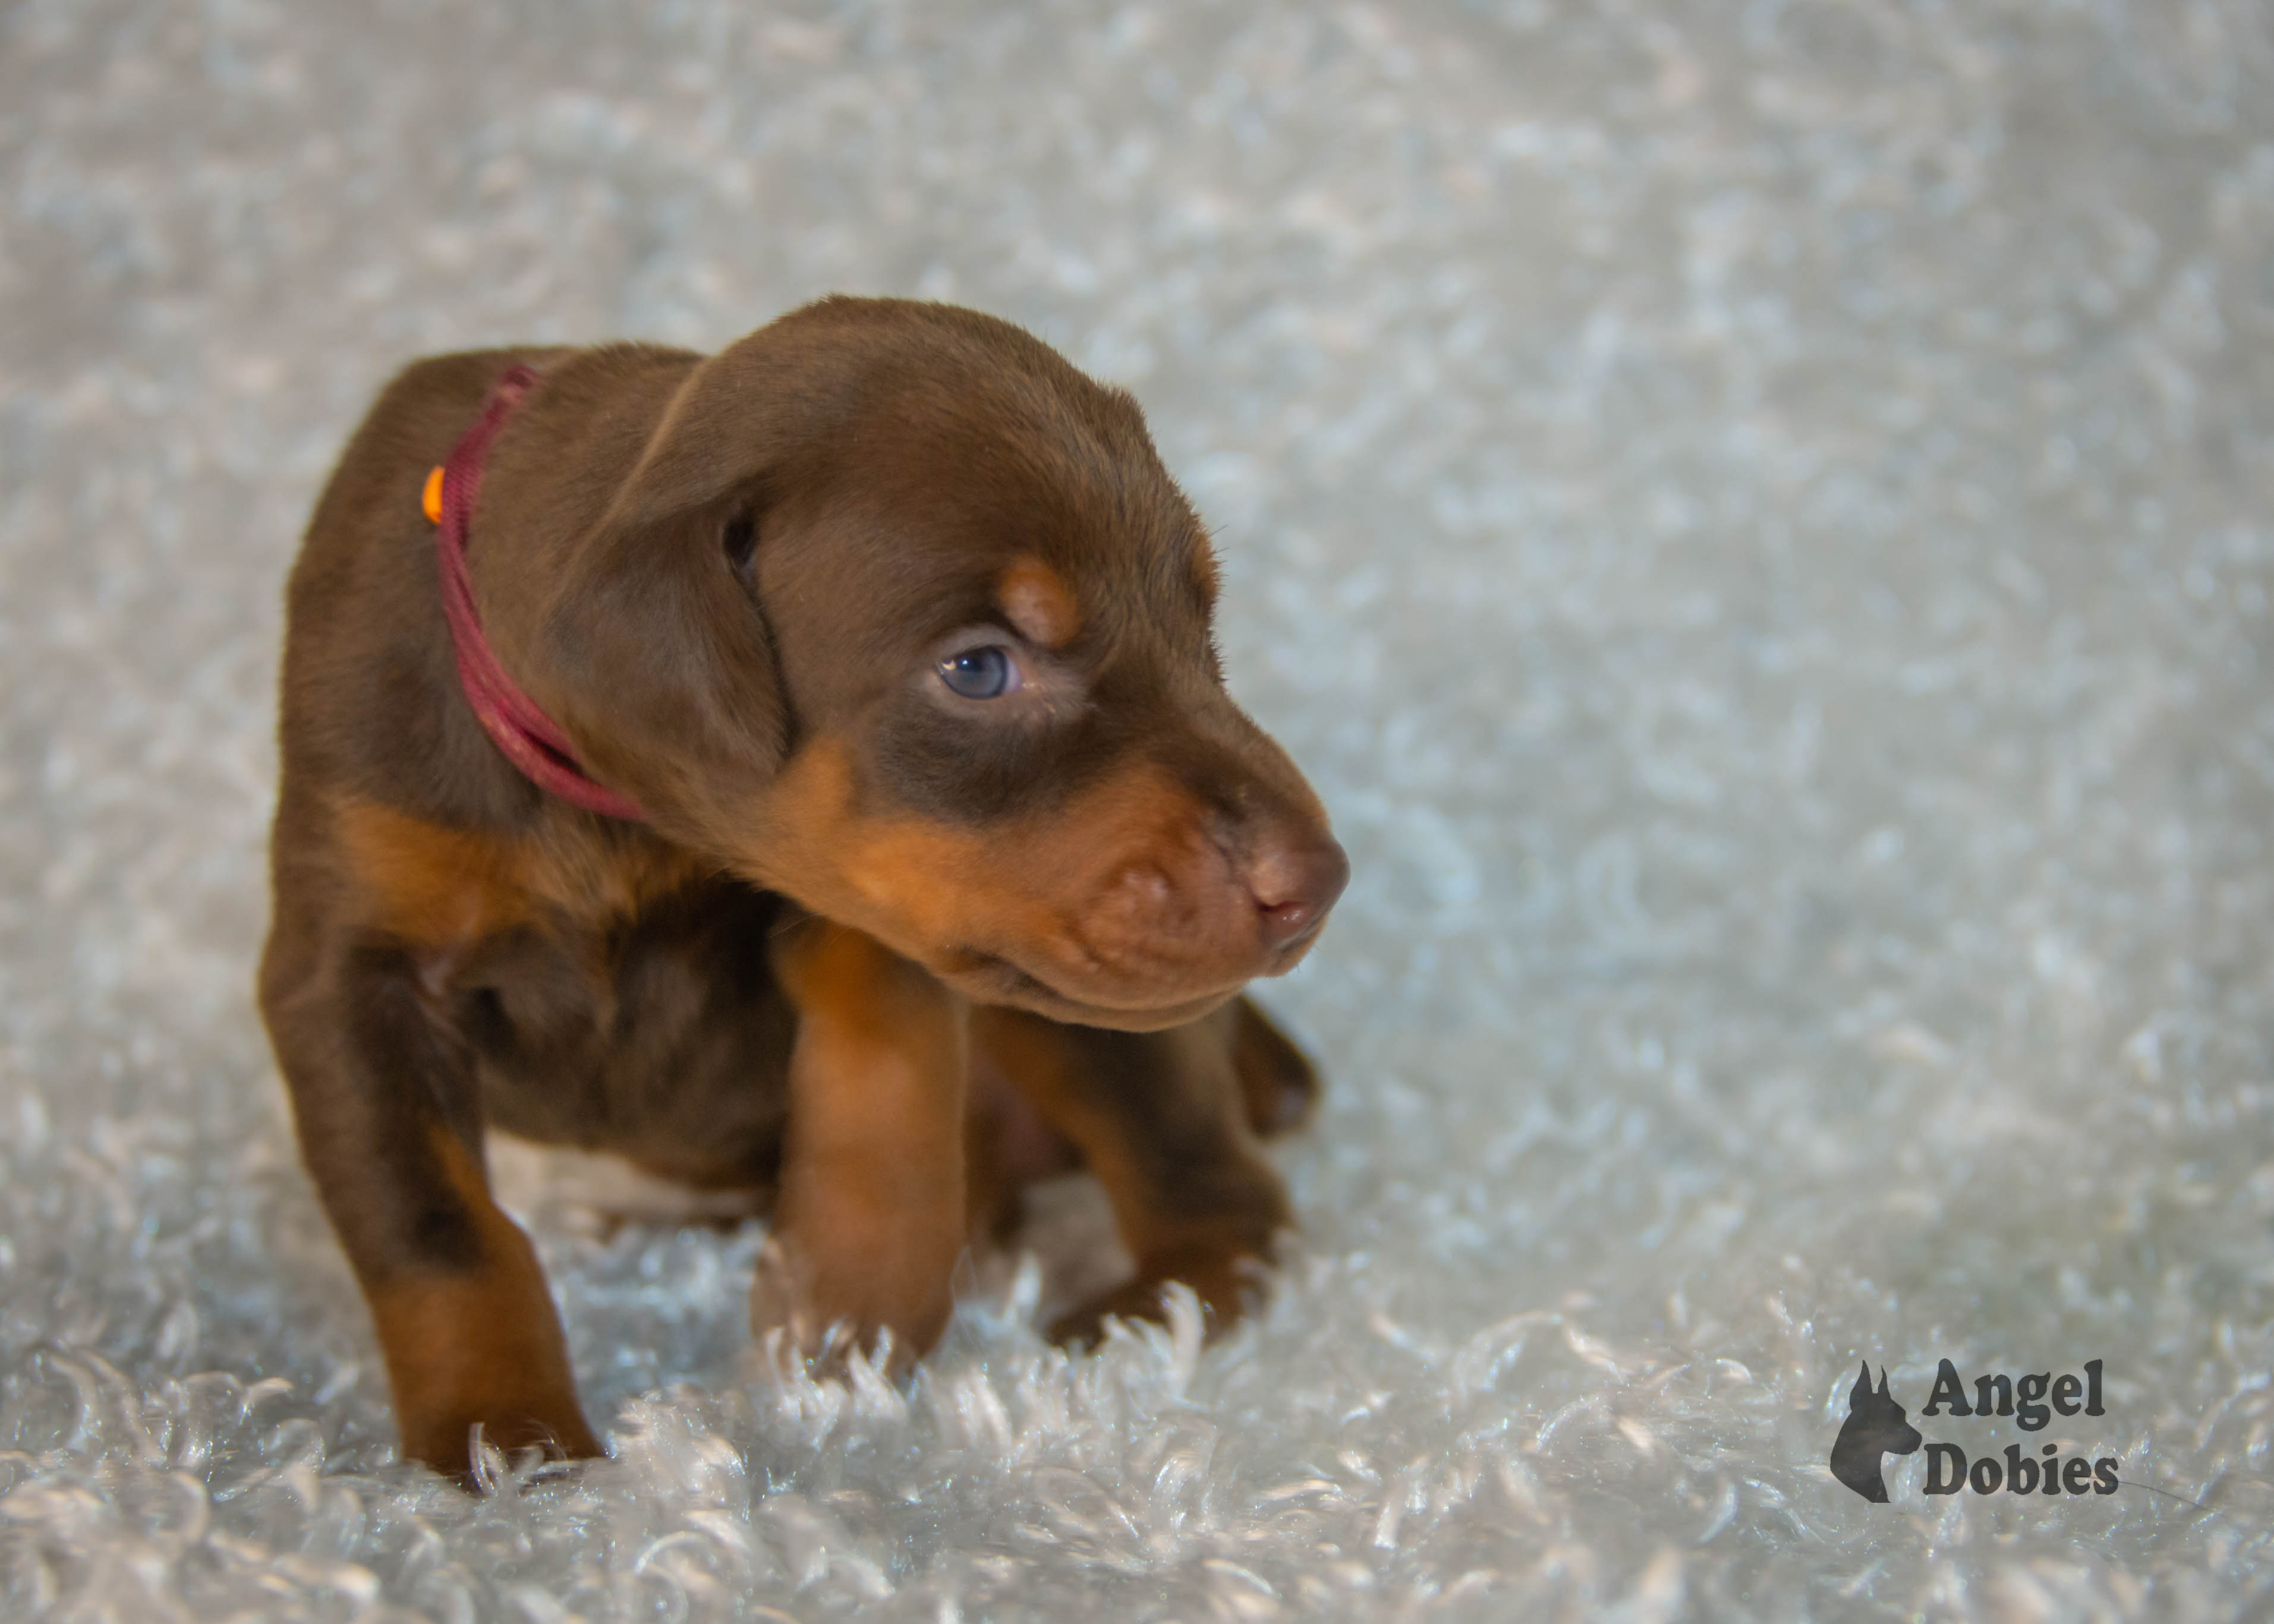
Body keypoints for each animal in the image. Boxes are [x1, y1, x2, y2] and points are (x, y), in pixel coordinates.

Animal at [261, 293, 1346, 1483]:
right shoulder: (353, 972)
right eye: (978, 667)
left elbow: (886, 1067)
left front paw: (847, 1305)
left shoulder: (859, 907)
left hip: (1102, 1028)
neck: (612, 813)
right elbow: (436, 1228)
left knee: (1215, 1186)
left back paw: (1142, 1313)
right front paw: (505, 1448)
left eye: (1199, 619)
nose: (1317, 884)